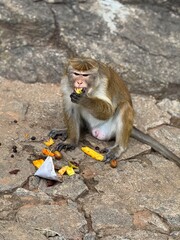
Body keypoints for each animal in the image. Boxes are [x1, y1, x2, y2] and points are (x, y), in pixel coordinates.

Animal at [49, 57, 180, 167]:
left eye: (85, 75)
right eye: (76, 74)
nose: (80, 82)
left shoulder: (104, 84)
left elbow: (108, 111)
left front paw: (85, 99)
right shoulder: (65, 83)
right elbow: (71, 108)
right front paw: (71, 141)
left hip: (109, 130)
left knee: (124, 107)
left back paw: (118, 148)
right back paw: (69, 130)